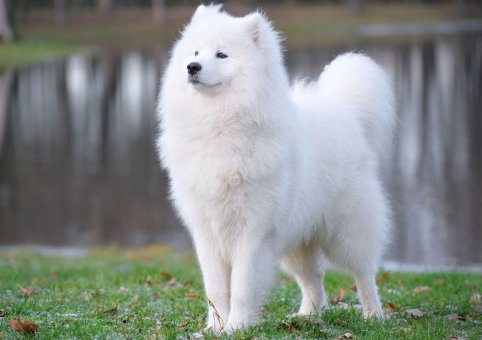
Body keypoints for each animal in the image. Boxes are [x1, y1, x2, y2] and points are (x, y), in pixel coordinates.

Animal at [156, 3, 394, 334]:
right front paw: (214, 329)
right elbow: (215, 289)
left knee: (364, 273)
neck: (218, 123)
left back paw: (374, 315)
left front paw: (236, 327)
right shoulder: (207, 233)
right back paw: (306, 317)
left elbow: (242, 286)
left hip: (347, 232)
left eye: (221, 55)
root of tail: (344, 110)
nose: (192, 67)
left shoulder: (253, 232)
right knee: (314, 280)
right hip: (297, 241)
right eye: (195, 51)